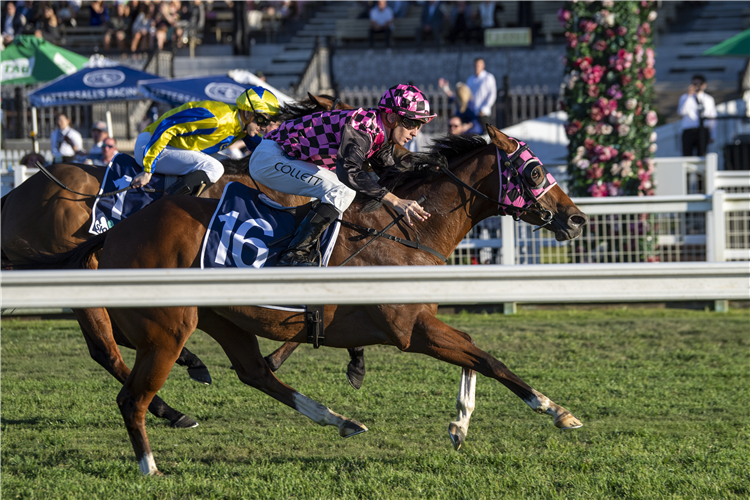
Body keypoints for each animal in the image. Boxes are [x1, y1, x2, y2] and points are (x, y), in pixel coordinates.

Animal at [0, 93, 356, 426]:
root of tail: (16, 194)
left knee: (115, 343)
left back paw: (183, 377)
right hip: (80, 275)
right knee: (106, 349)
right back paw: (173, 405)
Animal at [38, 127, 592, 474]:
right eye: (534, 171)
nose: (577, 218)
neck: (409, 232)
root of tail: (116, 233)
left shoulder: (420, 323)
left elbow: (474, 351)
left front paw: (459, 425)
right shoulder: (409, 330)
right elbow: (489, 358)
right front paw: (556, 410)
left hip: (222, 319)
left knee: (256, 373)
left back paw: (341, 420)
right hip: (168, 330)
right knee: (132, 398)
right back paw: (150, 466)